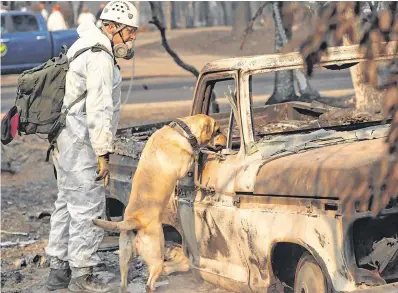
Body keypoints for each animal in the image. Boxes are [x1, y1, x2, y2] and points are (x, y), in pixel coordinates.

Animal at [91, 115, 225, 290]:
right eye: (218, 130)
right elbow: (194, 156)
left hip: (124, 258)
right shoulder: (183, 167)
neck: (181, 131)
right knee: (149, 284)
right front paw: (198, 153)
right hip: (156, 256)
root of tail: (133, 221)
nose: (225, 141)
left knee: (123, 282)